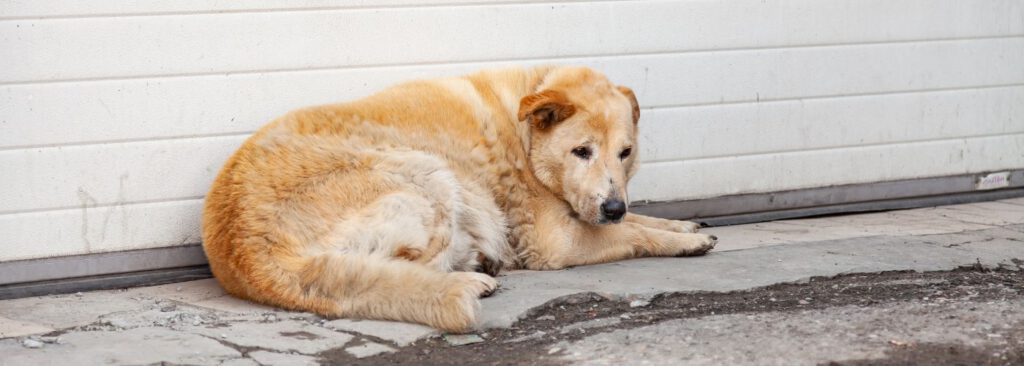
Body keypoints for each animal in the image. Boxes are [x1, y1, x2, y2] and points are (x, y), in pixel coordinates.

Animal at [197, 65, 712, 330]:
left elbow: (640, 222)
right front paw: (683, 240)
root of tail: (248, 250)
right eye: (581, 151)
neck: (522, 130)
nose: (613, 206)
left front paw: (684, 226)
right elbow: (630, 235)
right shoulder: (554, 243)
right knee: (413, 267)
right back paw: (476, 277)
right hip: (430, 175)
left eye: (625, 153)